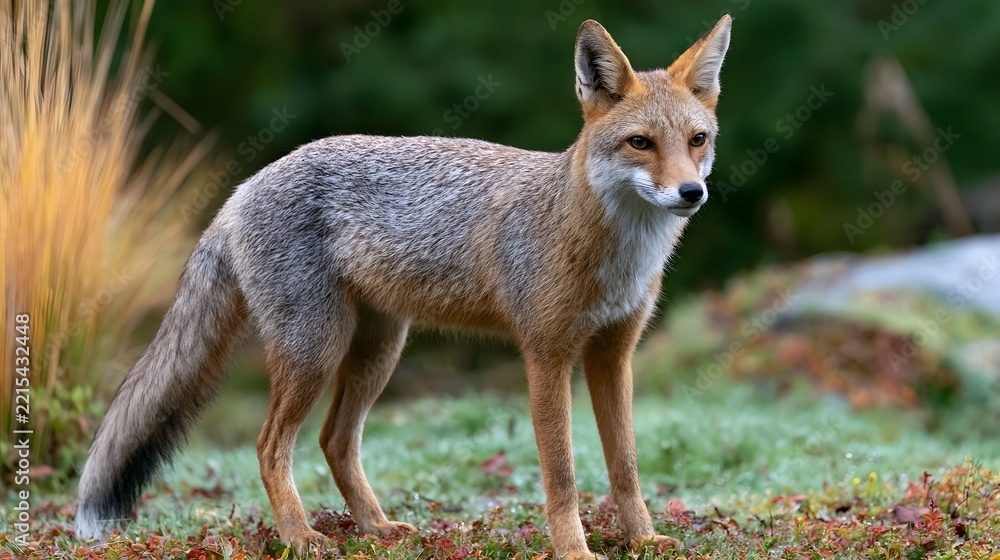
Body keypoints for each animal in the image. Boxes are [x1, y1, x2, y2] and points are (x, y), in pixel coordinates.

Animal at [76, 16, 732, 559]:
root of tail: (246, 186)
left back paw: (375, 529)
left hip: (378, 352)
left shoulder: (613, 355)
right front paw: (574, 551)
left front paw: (643, 539)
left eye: (696, 140)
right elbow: (563, 476)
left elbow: (626, 467)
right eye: (641, 143)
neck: (613, 252)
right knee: (269, 447)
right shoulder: (545, 356)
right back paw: (300, 537)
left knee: (334, 442)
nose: (691, 193)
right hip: (316, 351)